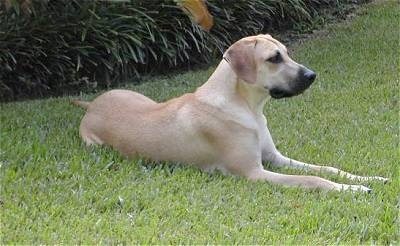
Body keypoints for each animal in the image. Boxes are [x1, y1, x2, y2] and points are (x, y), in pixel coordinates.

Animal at [72, 34, 388, 192]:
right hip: (93, 145)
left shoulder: (276, 158)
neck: (247, 107)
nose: (312, 76)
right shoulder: (254, 173)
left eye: (287, 52)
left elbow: (327, 169)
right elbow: (313, 180)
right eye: (274, 58)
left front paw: (369, 179)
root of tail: (92, 104)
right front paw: (353, 190)